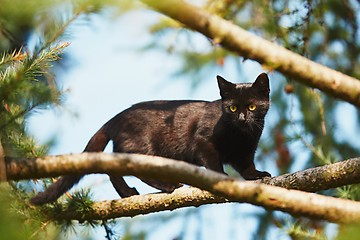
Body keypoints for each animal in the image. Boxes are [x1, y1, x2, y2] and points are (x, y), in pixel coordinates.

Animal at [30, 73, 270, 204]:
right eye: (232, 108)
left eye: (251, 107)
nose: (242, 118)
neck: (241, 136)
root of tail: (116, 117)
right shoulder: (203, 141)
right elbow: (213, 163)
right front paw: (220, 179)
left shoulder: (246, 151)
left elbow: (247, 166)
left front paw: (257, 175)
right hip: (143, 149)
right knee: (130, 168)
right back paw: (167, 185)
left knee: (113, 167)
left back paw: (127, 192)